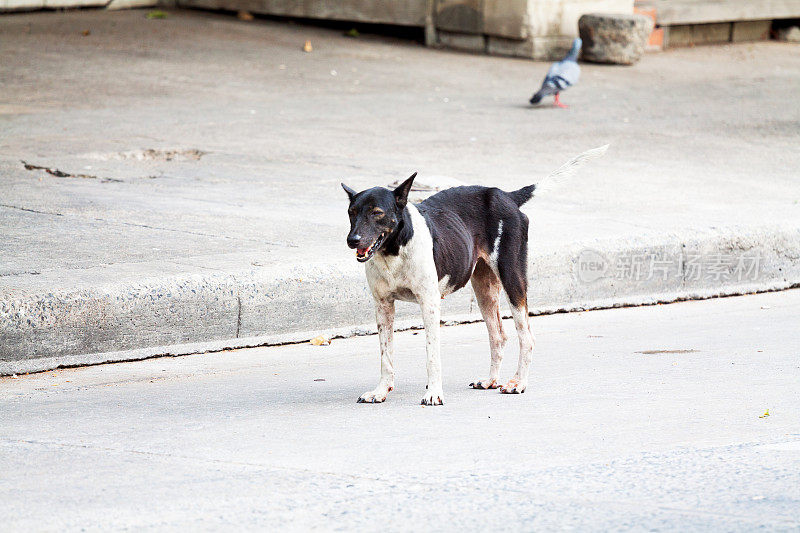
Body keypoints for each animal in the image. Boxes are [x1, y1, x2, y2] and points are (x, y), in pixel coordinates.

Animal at [340, 144, 608, 404]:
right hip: (484, 290)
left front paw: (433, 393)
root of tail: (506, 195)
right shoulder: (383, 306)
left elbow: (432, 354)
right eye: (351, 211)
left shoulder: (429, 304)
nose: (352, 240)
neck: (394, 251)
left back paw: (518, 383)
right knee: (498, 336)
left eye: (377, 212)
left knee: (526, 337)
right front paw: (381, 391)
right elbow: (385, 355)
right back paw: (491, 380)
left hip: (512, 280)